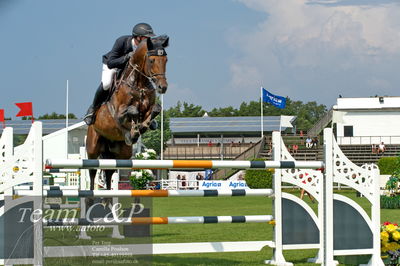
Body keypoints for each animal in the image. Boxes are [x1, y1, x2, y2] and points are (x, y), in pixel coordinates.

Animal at [86, 35, 169, 190]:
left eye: (166, 60)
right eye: (151, 60)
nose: (163, 87)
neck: (139, 83)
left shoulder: (150, 107)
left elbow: (155, 109)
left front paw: (142, 127)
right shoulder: (118, 113)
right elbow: (132, 110)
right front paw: (135, 129)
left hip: (120, 152)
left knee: (109, 172)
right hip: (93, 147)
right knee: (92, 171)